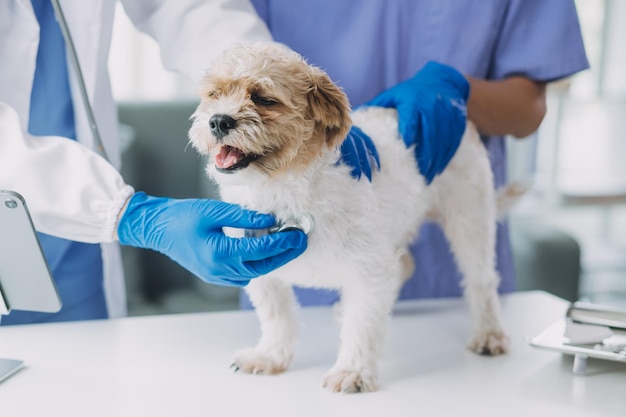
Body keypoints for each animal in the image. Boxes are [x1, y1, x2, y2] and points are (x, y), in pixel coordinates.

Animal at [188, 43, 510, 394]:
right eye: (214, 94)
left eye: (262, 98)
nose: (218, 121)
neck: (286, 187)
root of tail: (461, 115)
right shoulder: (256, 267)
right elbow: (277, 317)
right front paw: (270, 356)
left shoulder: (371, 270)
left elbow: (363, 324)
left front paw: (352, 371)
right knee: (405, 265)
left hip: (469, 218)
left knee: (481, 278)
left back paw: (489, 333)